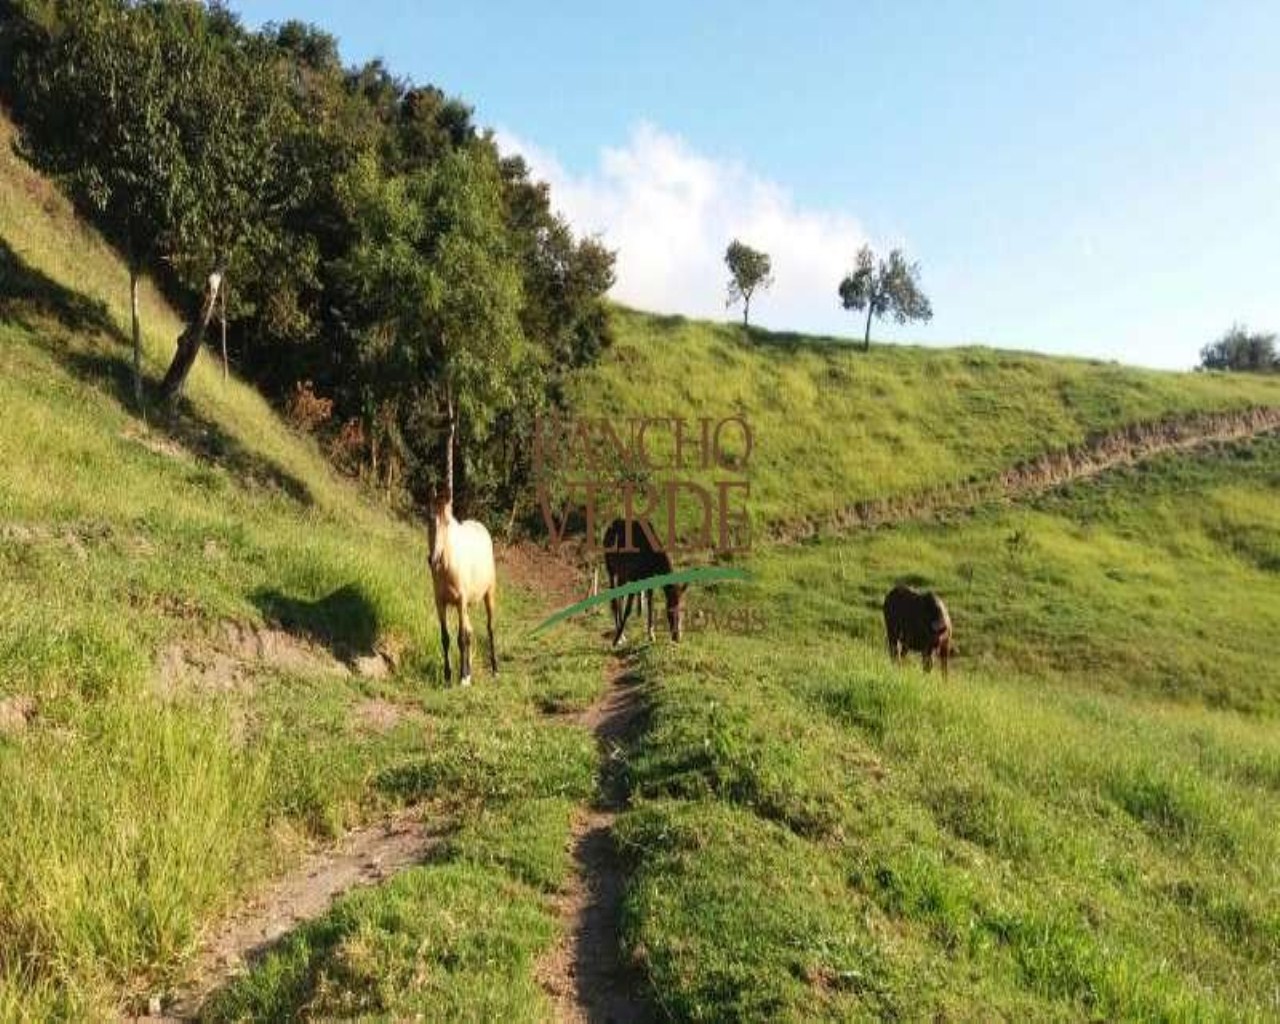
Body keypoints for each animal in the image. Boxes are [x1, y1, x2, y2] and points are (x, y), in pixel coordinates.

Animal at [424, 488, 494, 686]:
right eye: (429, 519)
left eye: (447, 522)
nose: (434, 559)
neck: (448, 567)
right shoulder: (441, 603)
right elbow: (446, 637)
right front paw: (448, 676)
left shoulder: (460, 602)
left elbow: (461, 638)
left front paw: (462, 677)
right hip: (465, 606)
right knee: (470, 632)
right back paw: (470, 674)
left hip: (489, 593)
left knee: (489, 628)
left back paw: (495, 670)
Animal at [601, 517, 686, 645]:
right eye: (670, 611)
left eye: (682, 610)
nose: (677, 637)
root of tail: (608, 529)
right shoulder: (633, 577)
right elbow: (629, 609)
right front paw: (616, 639)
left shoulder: (647, 578)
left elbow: (650, 604)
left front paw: (651, 635)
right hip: (610, 569)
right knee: (614, 601)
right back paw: (620, 635)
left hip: (622, 575)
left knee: (621, 599)